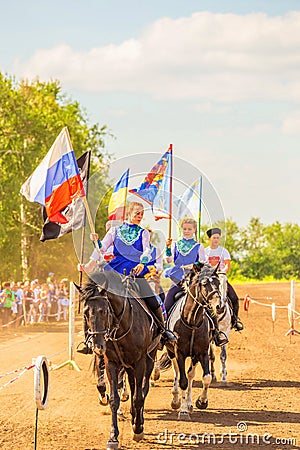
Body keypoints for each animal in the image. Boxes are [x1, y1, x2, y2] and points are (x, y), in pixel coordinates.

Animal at [76, 270, 161, 450]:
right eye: (86, 312)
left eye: (103, 311)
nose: (97, 345)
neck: (122, 325)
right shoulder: (112, 363)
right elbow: (114, 399)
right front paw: (113, 437)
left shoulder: (140, 362)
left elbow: (138, 397)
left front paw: (138, 429)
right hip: (128, 366)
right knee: (133, 387)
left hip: (148, 360)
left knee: (143, 389)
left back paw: (138, 420)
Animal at [165, 262, 221, 420]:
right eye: (204, 284)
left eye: (218, 283)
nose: (218, 306)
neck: (192, 321)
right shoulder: (179, 353)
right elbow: (182, 380)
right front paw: (183, 410)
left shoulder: (202, 352)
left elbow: (206, 378)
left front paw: (201, 402)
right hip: (171, 352)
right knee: (177, 372)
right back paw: (176, 400)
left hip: (194, 356)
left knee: (190, 375)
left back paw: (189, 403)